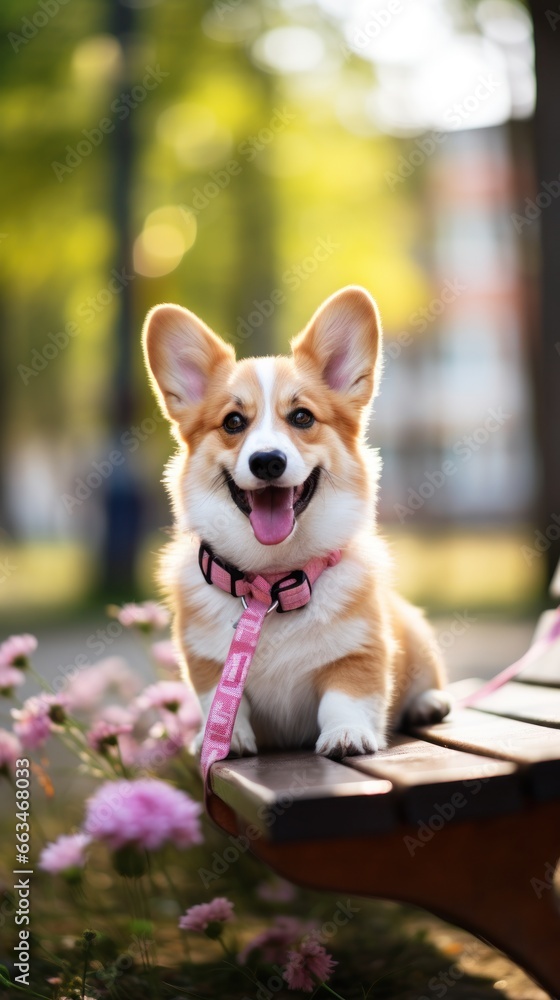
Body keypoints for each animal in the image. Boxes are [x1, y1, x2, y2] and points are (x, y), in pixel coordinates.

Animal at [141, 288, 450, 756]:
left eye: (302, 416)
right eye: (233, 421)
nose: (267, 461)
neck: (272, 581)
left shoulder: (360, 652)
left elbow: (346, 697)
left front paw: (346, 734)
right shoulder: (207, 661)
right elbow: (218, 701)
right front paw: (223, 738)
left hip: (414, 633)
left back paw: (429, 703)